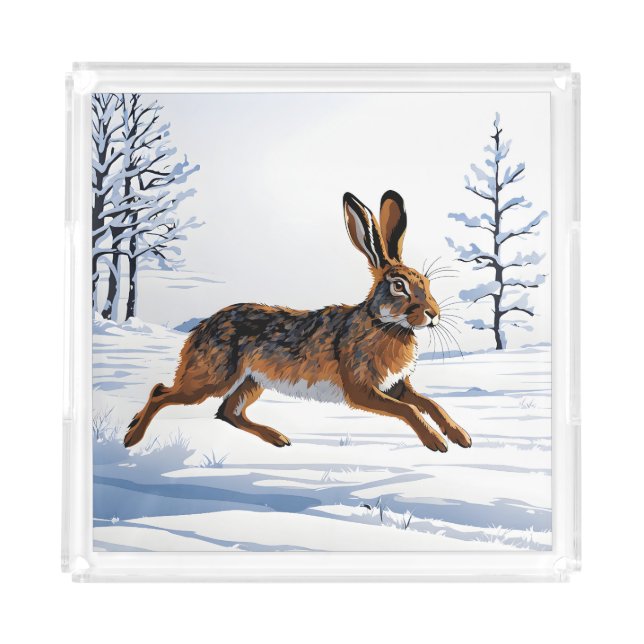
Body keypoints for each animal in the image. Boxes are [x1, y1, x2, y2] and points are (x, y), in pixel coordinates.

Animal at [124, 190, 472, 452]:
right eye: (399, 285)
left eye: (426, 282)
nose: (433, 314)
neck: (383, 322)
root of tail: (200, 329)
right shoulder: (361, 389)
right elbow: (408, 409)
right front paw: (436, 443)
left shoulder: (397, 386)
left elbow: (430, 403)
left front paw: (461, 437)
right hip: (211, 377)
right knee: (161, 392)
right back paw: (131, 437)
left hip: (251, 381)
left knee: (226, 412)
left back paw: (278, 438)